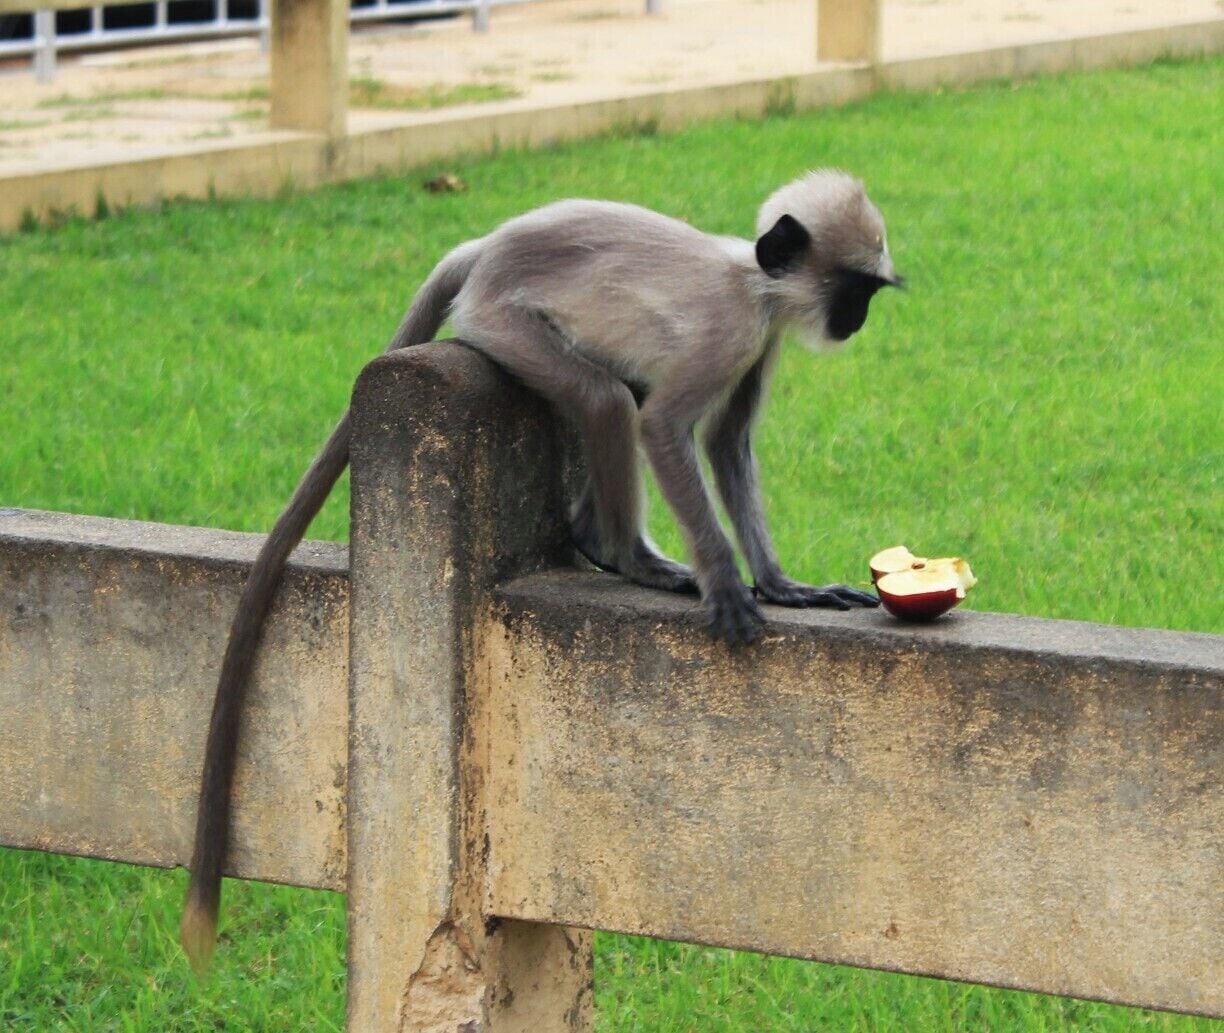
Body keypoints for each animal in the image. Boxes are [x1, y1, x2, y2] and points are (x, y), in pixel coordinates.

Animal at [180, 168, 902, 973]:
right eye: (855, 289)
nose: (857, 321)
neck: (751, 279)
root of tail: (488, 245)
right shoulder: (730, 328)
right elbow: (665, 427)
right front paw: (724, 585)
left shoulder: (760, 338)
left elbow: (726, 442)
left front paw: (780, 585)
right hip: (502, 323)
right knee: (612, 400)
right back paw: (627, 555)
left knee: (618, 391)